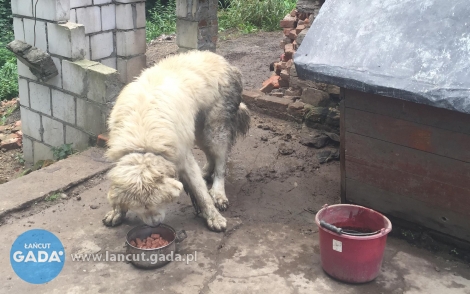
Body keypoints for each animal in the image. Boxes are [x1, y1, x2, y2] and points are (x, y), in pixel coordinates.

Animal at [102, 49, 250, 231]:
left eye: (159, 203)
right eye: (140, 208)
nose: (155, 225)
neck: (143, 143)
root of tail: (226, 62)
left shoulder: (183, 156)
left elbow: (201, 193)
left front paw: (214, 217)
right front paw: (116, 212)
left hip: (215, 130)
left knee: (221, 164)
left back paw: (218, 193)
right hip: (198, 132)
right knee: (210, 156)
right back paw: (206, 172)